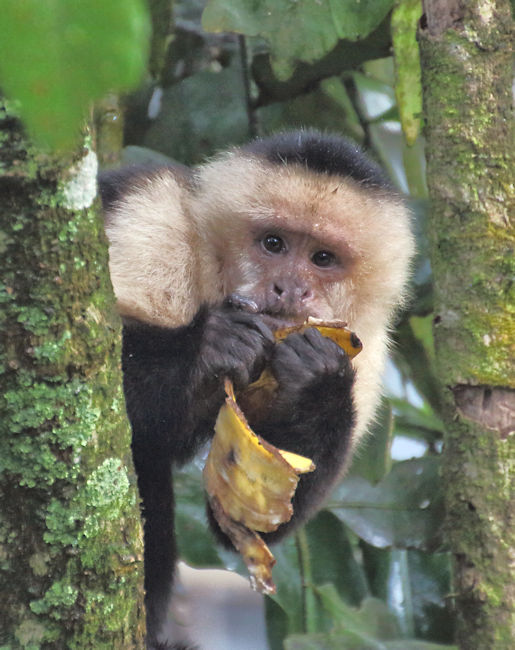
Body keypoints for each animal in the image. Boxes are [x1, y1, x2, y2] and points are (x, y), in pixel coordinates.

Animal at [100, 130, 416, 648]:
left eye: (322, 258)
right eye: (274, 244)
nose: (289, 288)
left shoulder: (364, 345)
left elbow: (255, 521)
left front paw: (317, 382)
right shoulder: (150, 221)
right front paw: (209, 346)